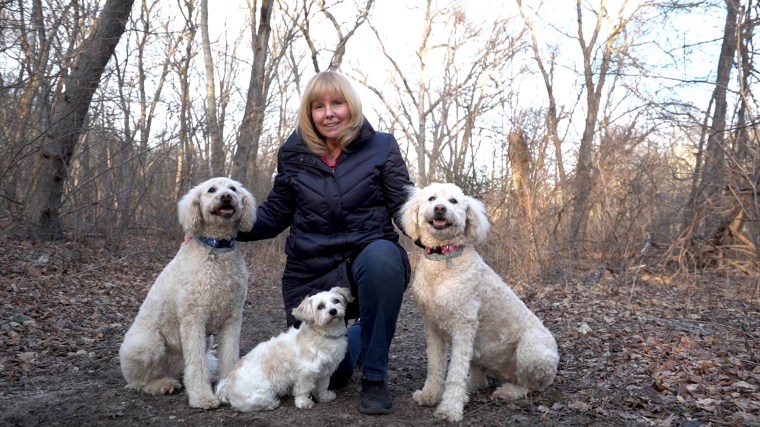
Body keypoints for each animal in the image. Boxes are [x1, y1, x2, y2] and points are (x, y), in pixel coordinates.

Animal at [119, 177, 255, 412]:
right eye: (211, 190)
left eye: (233, 189)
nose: (226, 197)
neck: (216, 251)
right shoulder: (193, 319)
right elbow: (197, 364)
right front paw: (202, 397)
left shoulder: (232, 319)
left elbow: (229, 357)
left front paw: (227, 390)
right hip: (147, 343)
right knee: (138, 382)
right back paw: (162, 385)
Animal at [215, 286, 352, 412]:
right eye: (320, 306)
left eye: (336, 301)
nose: (333, 311)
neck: (323, 335)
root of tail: (228, 386)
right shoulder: (305, 372)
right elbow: (303, 389)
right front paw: (304, 403)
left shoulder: (325, 370)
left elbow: (323, 386)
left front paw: (324, 397)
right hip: (261, 392)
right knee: (254, 404)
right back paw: (273, 403)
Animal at [398, 182, 560, 422]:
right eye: (431, 198)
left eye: (453, 201)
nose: (440, 209)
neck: (444, 261)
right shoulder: (432, 328)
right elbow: (435, 367)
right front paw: (430, 395)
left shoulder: (463, 327)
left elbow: (454, 373)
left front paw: (449, 409)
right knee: (480, 379)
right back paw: (470, 388)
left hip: (532, 352)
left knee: (530, 385)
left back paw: (508, 392)